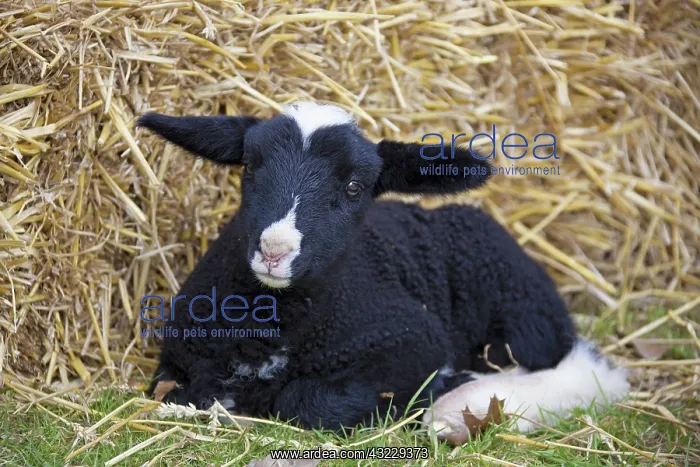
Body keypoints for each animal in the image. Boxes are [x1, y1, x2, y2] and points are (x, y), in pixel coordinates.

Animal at [136, 101, 629, 433]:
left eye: (355, 187)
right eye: (250, 169)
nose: (274, 251)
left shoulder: (413, 340)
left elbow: (304, 401)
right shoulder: (178, 363)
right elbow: (187, 390)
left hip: (523, 319)